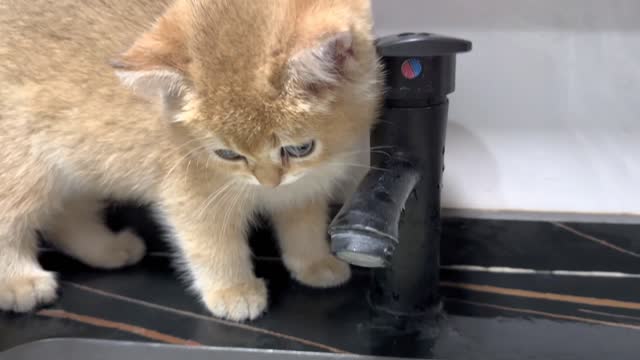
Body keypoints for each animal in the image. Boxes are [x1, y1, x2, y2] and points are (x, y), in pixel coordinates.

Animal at [0, 0, 380, 320]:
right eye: (228, 154)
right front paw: (233, 290)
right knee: (14, 220)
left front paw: (315, 263)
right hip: (24, 167)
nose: (268, 181)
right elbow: (212, 245)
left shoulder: (305, 187)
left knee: (65, 216)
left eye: (300, 148)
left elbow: (304, 226)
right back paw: (20, 282)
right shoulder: (193, 193)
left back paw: (108, 249)